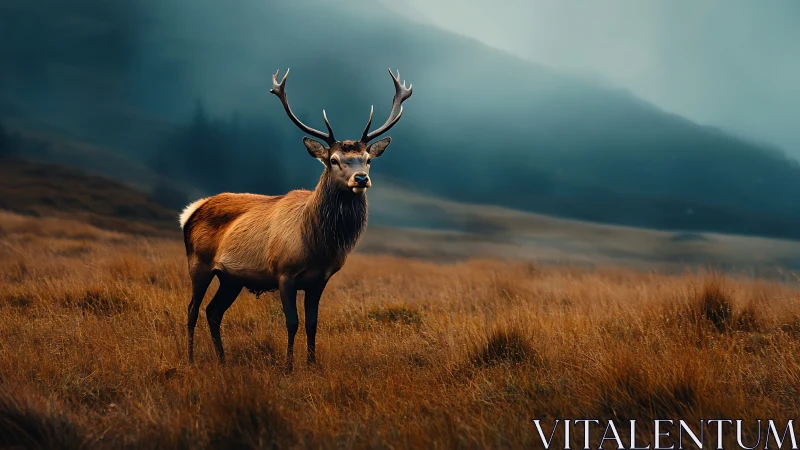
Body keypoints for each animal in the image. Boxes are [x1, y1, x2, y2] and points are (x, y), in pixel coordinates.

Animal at [179, 68, 412, 371]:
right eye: (334, 160)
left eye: (367, 159)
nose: (361, 178)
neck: (317, 245)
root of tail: (191, 211)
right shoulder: (284, 273)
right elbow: (292, 323)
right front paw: (289, 367)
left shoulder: (320, 280)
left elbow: (312, 323)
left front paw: (312, 364)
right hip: (199, 263)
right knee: (192, 309)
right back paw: (191, 358)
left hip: (232, 278)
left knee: (213, 311)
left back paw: (222, 360)